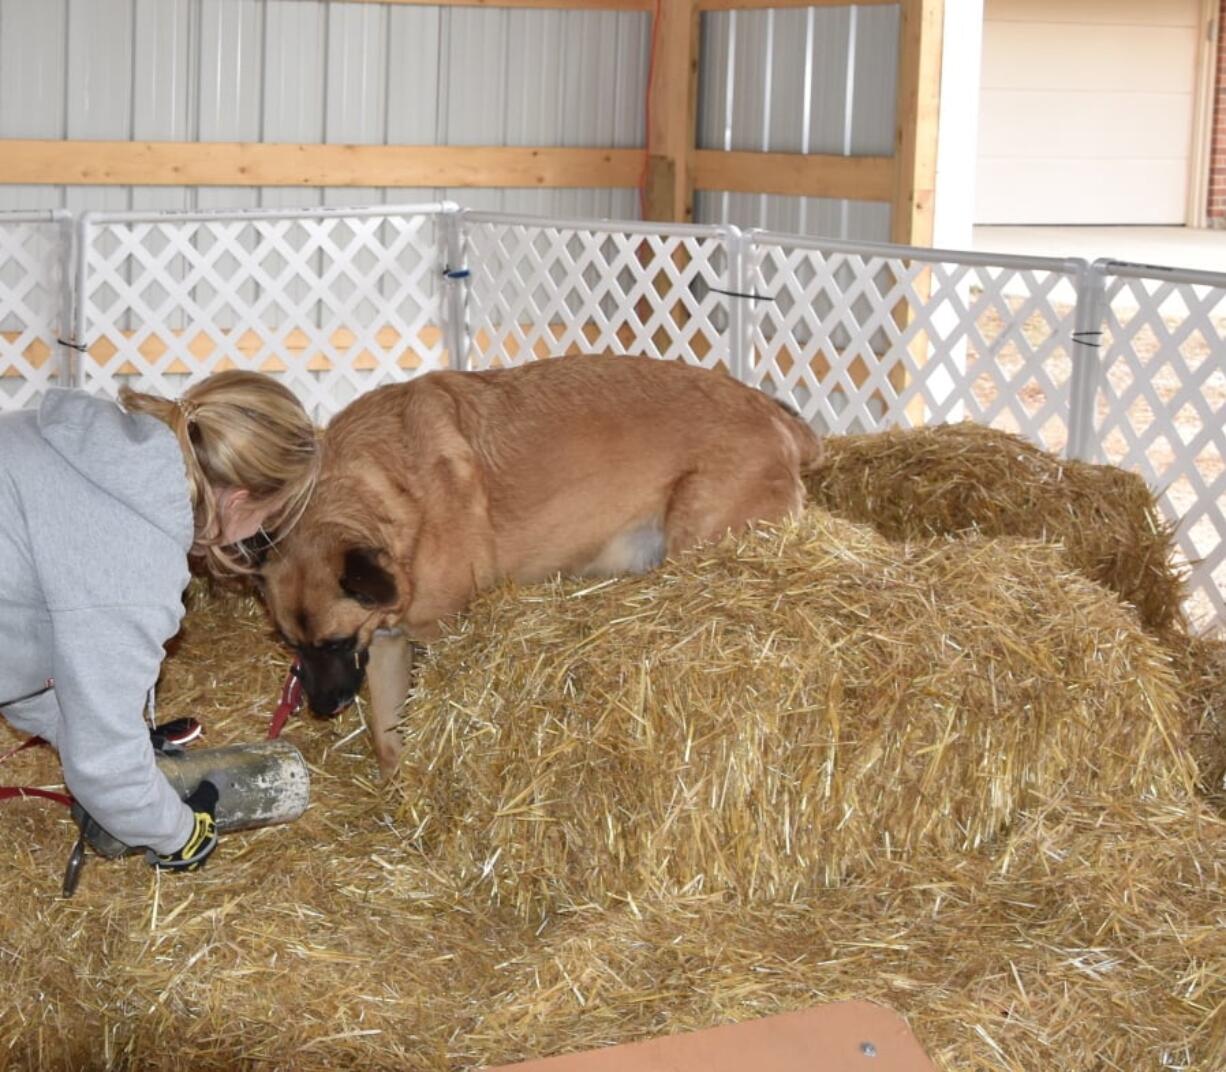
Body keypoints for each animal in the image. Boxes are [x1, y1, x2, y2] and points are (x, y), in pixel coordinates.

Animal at [262, 355, 818, 775]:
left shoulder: (433, 632)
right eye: (291, 644)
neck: (386, 491)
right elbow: (387, 736)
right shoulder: (383, 642)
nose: (323, 708)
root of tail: (778, 417)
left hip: (697, 530)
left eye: (334, 643)